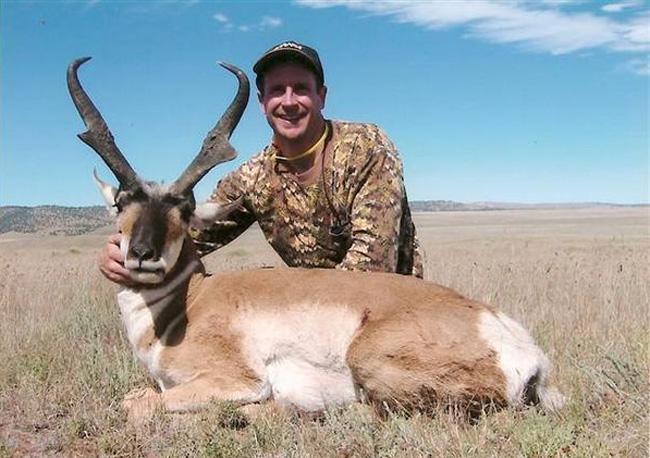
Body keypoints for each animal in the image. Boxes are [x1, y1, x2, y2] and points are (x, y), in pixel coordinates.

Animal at [68, 57, 565, 422]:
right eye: (121, 204)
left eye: (184, 210)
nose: (142, 255)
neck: (191, 302)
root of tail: (516, 342)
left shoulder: (232, 380)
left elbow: (138, 404)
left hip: (368, 359)